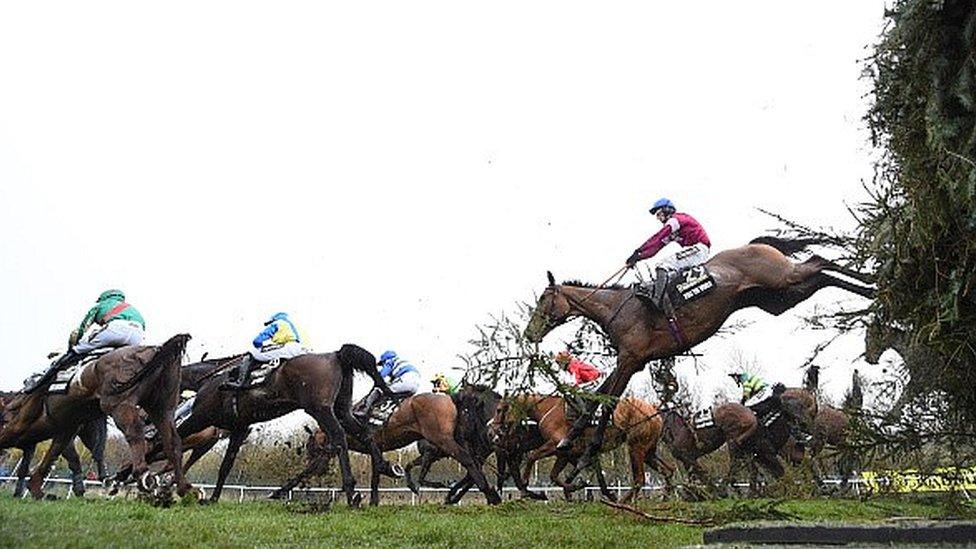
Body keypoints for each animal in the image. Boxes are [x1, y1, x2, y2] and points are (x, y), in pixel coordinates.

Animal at [0, 334, 193, 496]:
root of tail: (156, 349)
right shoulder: (66, 428)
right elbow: (56, 452)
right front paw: (36, 488)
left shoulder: (22, 425)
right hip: (161, 408)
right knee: (173, 442)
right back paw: (184, 488)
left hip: (120, 405)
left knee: (135, 433)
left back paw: (143, 475)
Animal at [274, 390, 504, 506]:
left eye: (311, 449)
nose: (321, 467)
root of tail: (451, 398)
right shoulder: (376, 447)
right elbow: (376, 475)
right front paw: (373, 502)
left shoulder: (336, 448)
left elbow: (305, 472)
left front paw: (279, 492)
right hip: (455, 440)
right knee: (474, 462)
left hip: (441, 439)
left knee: (467, 460)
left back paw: (488, 494)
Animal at [492, 392, 668, 504]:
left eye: (499, 409)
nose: (494, 430)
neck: (548, 410)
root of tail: (653, 411)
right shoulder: (565, 454)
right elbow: (555, 475)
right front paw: (575, 487)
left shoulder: (555, 446)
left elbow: (532, 457)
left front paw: (525, 482)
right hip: (649, 452)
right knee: (668, 470)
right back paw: (665, 495)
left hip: (636, 448)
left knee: (639, 479)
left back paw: (625, 501)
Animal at [524, 235, 872, 476]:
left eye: (542, 299)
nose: (529, 333)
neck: (616, 309)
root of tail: (755, 245)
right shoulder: (631, 362)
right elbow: (598, 397)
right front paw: (570, 440)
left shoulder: (630, 361)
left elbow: (607, 402)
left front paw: (586, 454)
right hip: (779, 298)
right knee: (821, 275)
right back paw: (870, 289)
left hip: (781, 278)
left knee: (818, 260)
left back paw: (871, 282)